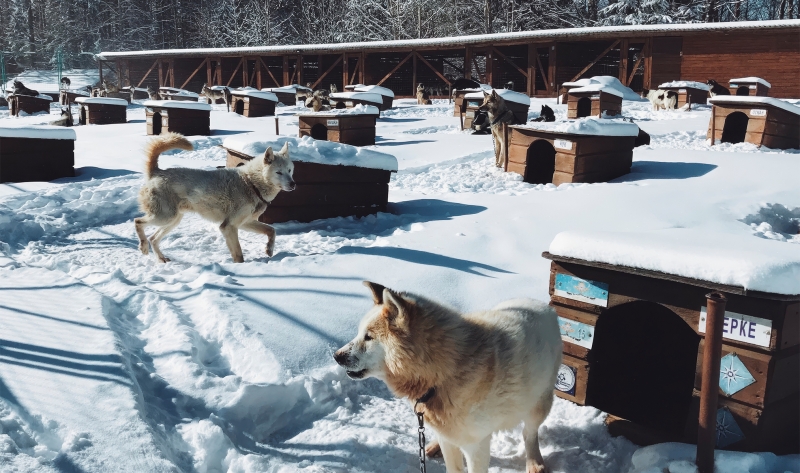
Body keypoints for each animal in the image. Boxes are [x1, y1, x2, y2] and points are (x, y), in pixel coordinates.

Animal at [134, 133, 296, 264]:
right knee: (138, 222)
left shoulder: (245, 222)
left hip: (173, 220)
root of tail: (157, 172)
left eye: (289, 170)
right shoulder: (229, 226)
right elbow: (239, 255)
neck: (251, 183)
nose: (293, 184)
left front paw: (269, 249)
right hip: (165, 217)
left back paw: (161, 258)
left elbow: (271, 230)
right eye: (279, 172)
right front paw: (241, 268)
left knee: (153, 238)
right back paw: (143, 246)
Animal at [334, 282, 560, 472]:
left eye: (368, 337)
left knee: (529, 433)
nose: (336, 356)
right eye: (359, 333)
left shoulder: (476, 446)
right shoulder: (452, 438)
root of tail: (543, 305)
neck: (444, 374)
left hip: (539, 403)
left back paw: (534, 462)